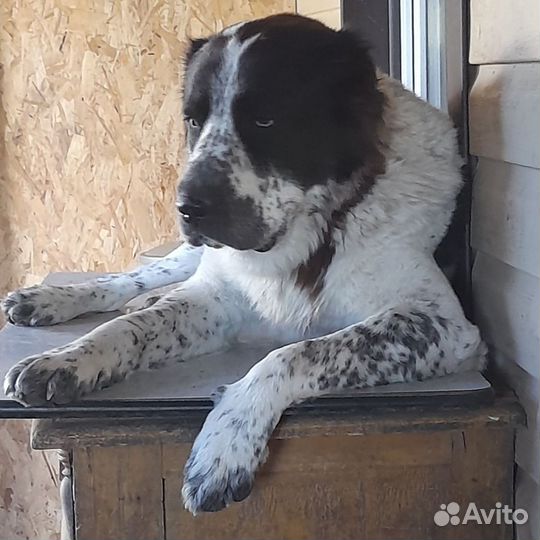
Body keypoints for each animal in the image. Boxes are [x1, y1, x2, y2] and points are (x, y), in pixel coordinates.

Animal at [3, 14, 486, 516]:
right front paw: (67, 359)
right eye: (194, 120)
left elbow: (293, 353)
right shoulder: (217, 299)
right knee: (130, 282)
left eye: (265, 118)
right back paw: (52, 298)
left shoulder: (441, 324)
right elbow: (125, 329)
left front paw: (224, 447)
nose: (187, 207)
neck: (311, 236)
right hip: (189, 256)